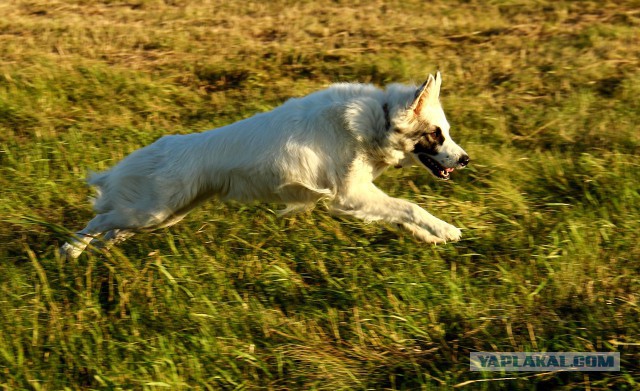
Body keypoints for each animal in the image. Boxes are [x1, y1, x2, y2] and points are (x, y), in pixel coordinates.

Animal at [60, 71, 470, 258]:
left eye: (447, 132)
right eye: (436, 135)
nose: (466, 160)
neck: (379, 119)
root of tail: (158, 148)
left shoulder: (357, 197)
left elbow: (400, 213)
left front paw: (428, 236)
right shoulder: (350, 195)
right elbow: (409, 206)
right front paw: (446, 229)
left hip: (162, 216)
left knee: (111, 229)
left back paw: (96, 251)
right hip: (150, 213)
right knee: (96, 222)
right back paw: (70, 252)